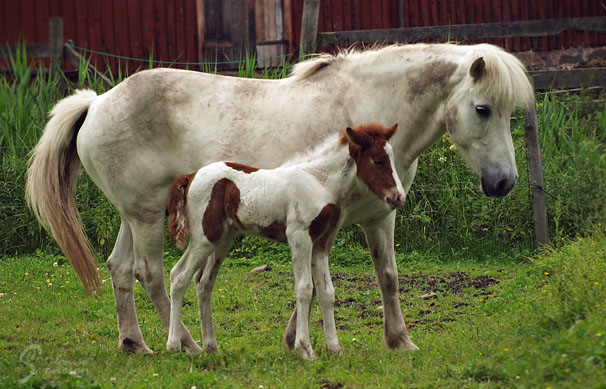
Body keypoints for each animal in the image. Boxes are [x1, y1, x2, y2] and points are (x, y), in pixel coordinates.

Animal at [167, 123, 404, 358]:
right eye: (377, 160)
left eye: (392, 158)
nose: (398, 197)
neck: (319, 183)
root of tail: (191, 175)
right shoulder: (299, 236)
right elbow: (305, 288)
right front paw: (305, 348)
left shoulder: (320, 243)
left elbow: (326, 291)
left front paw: (334, 348)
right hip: (204, 237)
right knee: (179, 275)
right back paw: (174, 344)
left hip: (223, 239)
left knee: (204, 282)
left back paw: (211, 346)